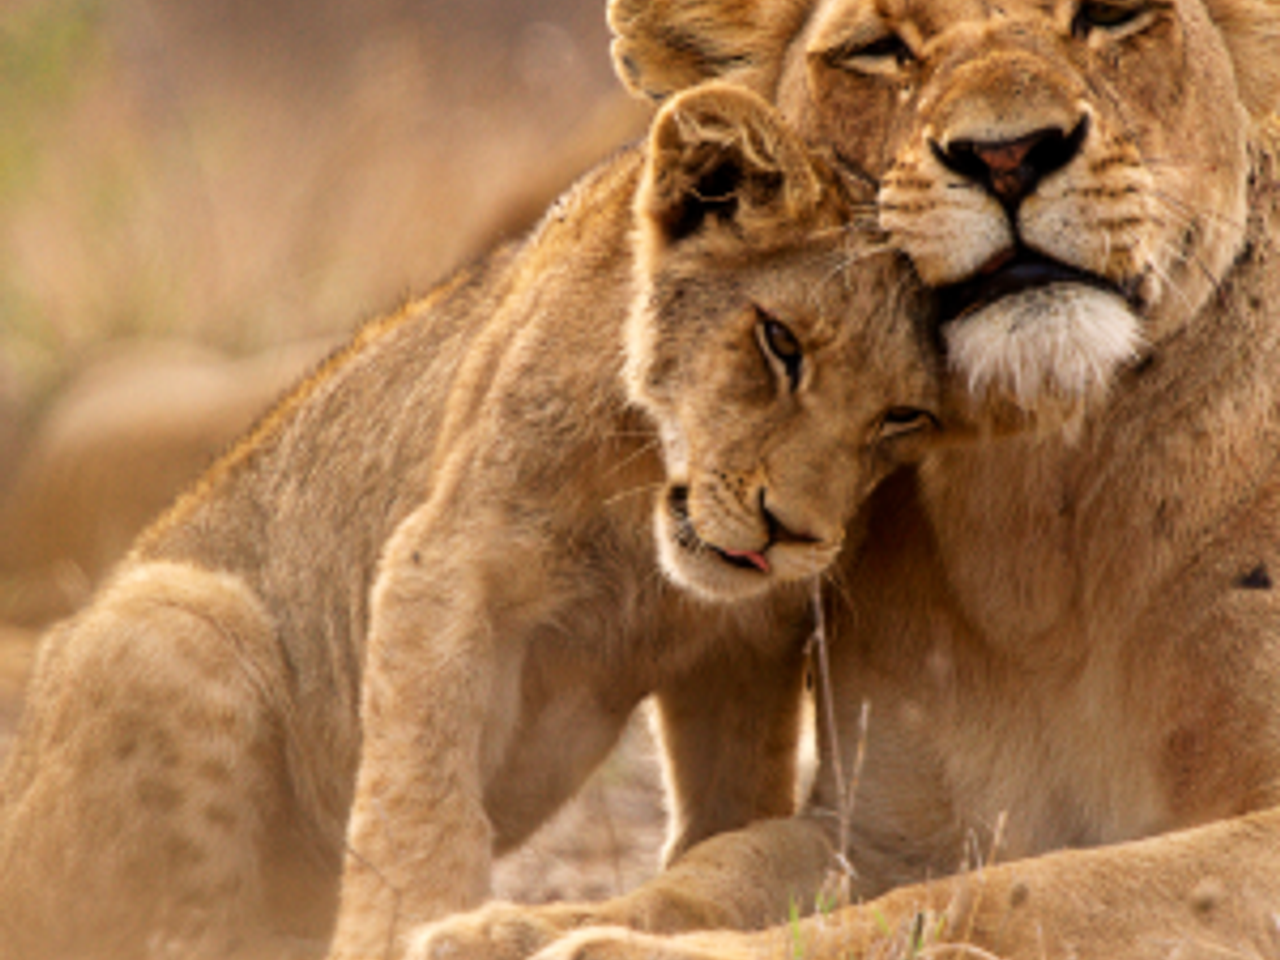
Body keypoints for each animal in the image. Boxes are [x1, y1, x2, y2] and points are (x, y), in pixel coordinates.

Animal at [0, 83, 944, 960]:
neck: (644, 508)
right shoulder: (444, 565)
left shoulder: (743, 642)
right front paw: (406, 930)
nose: (792, 535)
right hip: (172, 619)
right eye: (781, 342)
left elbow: (735, 801)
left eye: (904, 416)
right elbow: (422, 793)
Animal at [407, 0, 1280, 959]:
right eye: (878, 49)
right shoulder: (880, 828)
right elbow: (723, 865)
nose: (1007, 155)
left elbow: (1008, 892)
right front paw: (511, 924)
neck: (1039, 518)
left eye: (1114, 15)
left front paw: (605, 946)